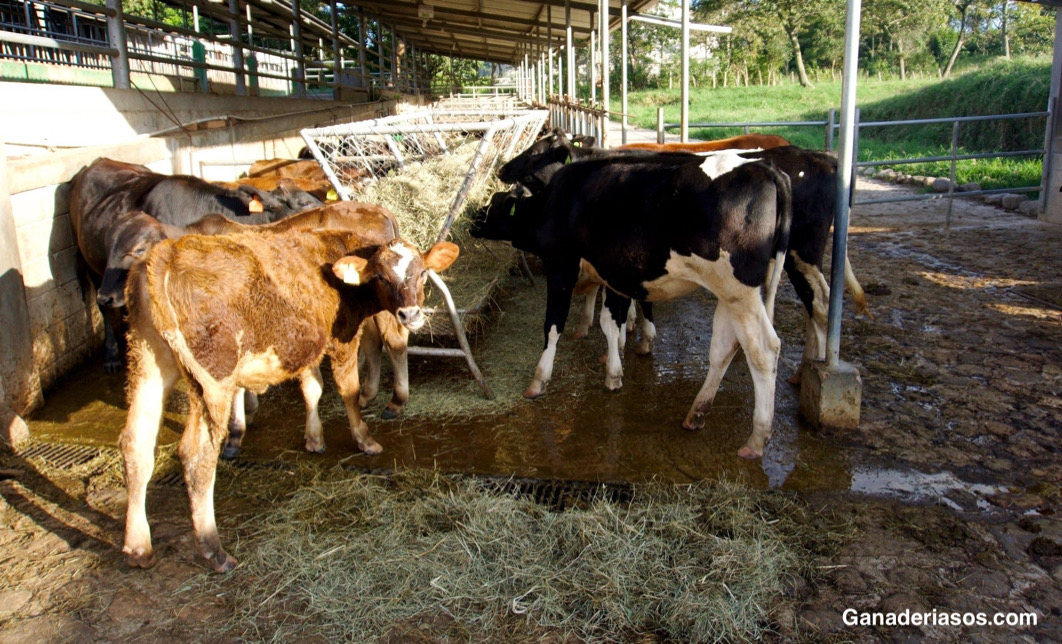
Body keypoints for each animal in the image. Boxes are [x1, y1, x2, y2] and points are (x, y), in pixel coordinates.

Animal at [121, 229, 460, 573]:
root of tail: (165, 252)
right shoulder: (342, 337)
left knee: (136, 443)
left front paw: (314, 438)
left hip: (148, 360)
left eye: (422, 272)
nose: (410, 314)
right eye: (380, 276)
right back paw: (214, 549)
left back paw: (138, 548)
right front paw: (365, 440)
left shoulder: (308, 343)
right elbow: (348, 391)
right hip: (212, 376)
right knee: (197, 455)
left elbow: (312, 388)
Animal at [471, 148, 790, 461]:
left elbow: (553, 324)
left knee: (764, 351)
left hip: (739, 291)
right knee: (724, 350)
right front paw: (614, 371)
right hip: (729, 293)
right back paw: (697, 413)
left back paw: (756, 439)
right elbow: (611, 323)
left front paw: (539, 380)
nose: (473, 219)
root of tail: (763, 167)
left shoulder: (561, 268)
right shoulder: (615, 277)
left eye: (494, 205)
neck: (555, 201)